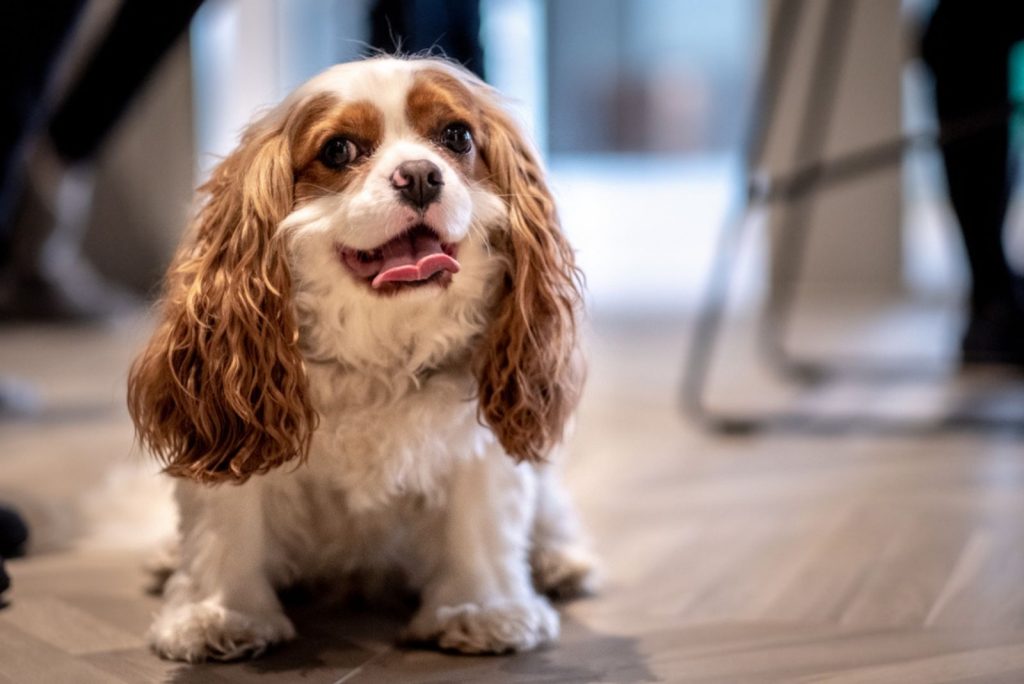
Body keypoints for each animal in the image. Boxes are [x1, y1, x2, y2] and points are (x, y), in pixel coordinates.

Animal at [126, 58, 598, 663]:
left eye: (457, 136)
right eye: (339, 150)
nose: (420, 174)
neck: (379, 354)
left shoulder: (473, 444)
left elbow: (480, 521)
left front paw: (481, 609)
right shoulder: (236, 429)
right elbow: (226, 523)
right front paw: (221, 613)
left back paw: (559, 558)